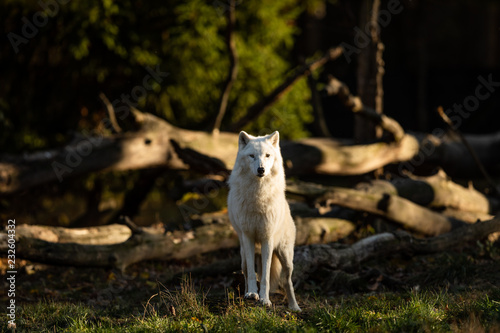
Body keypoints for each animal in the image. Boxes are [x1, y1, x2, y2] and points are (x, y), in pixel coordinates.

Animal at [228, 130, 300, 312]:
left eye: (267, 155)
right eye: (252, 156)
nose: (261, 170)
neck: (257, 196)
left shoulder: (267, 238)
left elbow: (266, 276)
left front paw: (265, 300)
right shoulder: (248, 237)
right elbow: (252, 273)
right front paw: (252, 294)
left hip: (286, 257)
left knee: (287, 281)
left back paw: (294, 307)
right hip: (243, 254)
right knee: (246, 271)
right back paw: (247, 293)